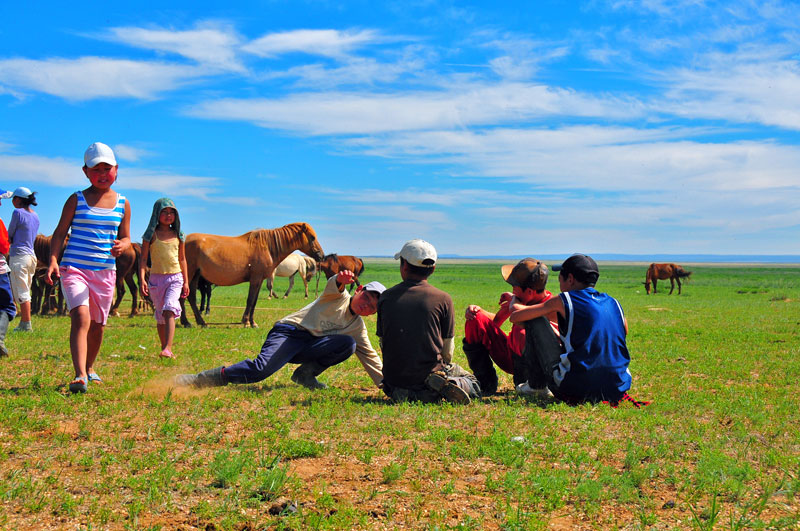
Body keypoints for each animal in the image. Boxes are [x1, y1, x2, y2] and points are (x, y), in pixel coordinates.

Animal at [182, 221, 324, 328]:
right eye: (312, 237)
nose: (321, 256)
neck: (267, 247)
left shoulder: (259, 280)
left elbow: (254, 302)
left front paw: (252, 322)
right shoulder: (255, 279)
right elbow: (250, 300)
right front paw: (246, 322)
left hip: (195, 276)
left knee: (191, 297)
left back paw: (200, 322)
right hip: (189, 275)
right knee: (184, 297)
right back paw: (187, 322)